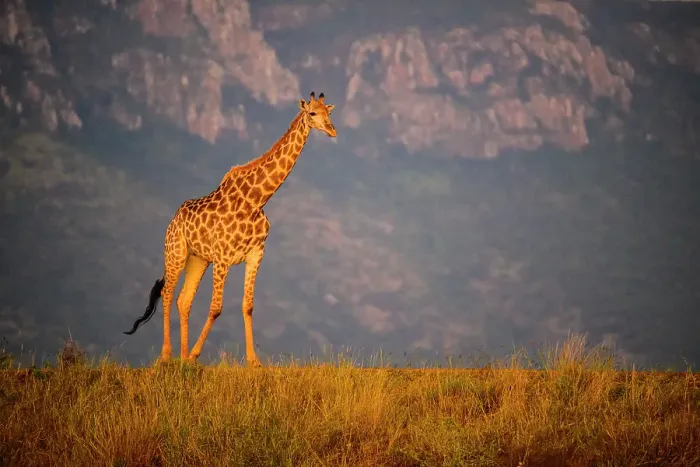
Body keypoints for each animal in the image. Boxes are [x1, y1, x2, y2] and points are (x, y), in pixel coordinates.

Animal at [124, 91, 337, 366]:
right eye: (312, 113)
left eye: (328, 112)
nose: (332, 130)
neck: (256, 201)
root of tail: (174, 219)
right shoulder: (223, 257)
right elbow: (216, 308)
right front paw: (195, 355)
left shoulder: (255, 254)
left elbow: (247, 305)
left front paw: (253, 362)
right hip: (176, 252)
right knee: (168, 293)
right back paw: (167, 355)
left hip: (198, 258)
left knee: (184, 299)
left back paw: (182, 356)